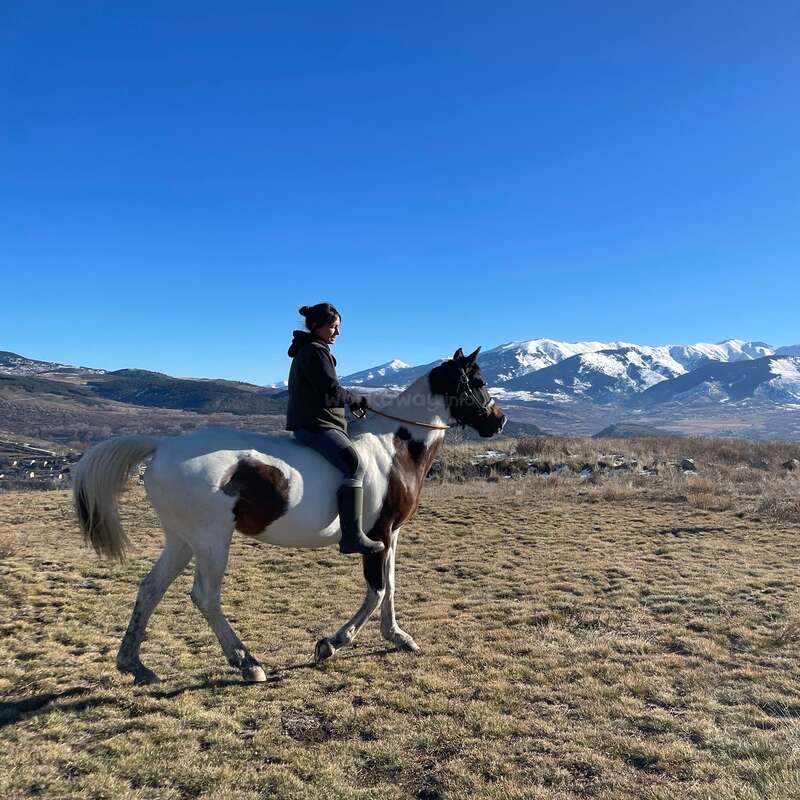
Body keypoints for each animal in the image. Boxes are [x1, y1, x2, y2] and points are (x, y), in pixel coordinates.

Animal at [73, 347, 506, 684]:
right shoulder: (377, 535)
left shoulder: (391, 535)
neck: (396, 448)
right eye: (478, 380)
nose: (499, 420)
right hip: (212, 539)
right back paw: (247, 664)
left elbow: (391, 586)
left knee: (150, 588)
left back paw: (134, 665)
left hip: (182, 539)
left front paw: (397, 637)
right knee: (205, 596)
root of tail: (161, 446)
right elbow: (377, 590)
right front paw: (330, 645)